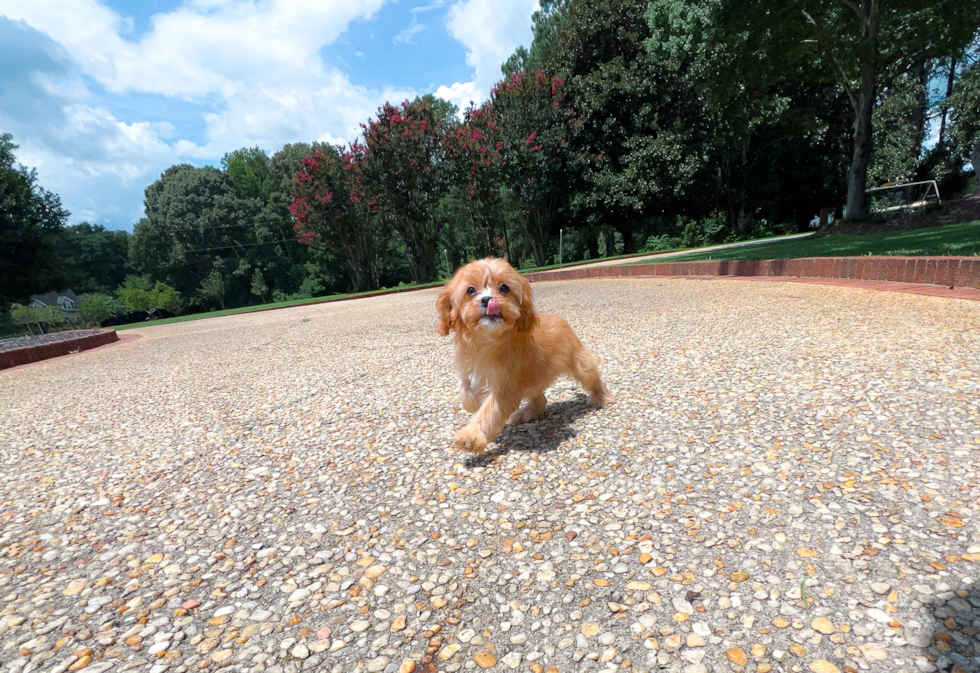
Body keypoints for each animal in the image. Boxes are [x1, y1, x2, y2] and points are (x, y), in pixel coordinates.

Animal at [438, 256, 612, 452]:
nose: (488, 299)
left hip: (580, 363)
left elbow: (489, 411)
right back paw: (527, 412)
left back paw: (600, 397)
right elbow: (465, 389)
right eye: (470, 290)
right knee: (540, 399)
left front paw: (470, 436)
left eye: (504, 288)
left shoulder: (504, 387)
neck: (487, 341)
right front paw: (473, 403)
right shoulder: (468, 367)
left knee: (592, 378)